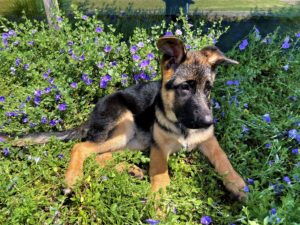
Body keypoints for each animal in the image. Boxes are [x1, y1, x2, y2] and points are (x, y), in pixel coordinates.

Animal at [2, 36, 246, 200]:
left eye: (208, 89)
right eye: (185, 87)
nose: (208, 122)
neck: (182, 125)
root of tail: (91, 117)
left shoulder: (208, 139)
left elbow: (222, 157)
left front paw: (237, 184)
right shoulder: (159, 148)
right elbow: (161, 177)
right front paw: (160, 205)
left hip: (136, 139)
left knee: (101, 156)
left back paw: (129, 169)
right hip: (126, 127)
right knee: (81, 148)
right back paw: (73, 177)